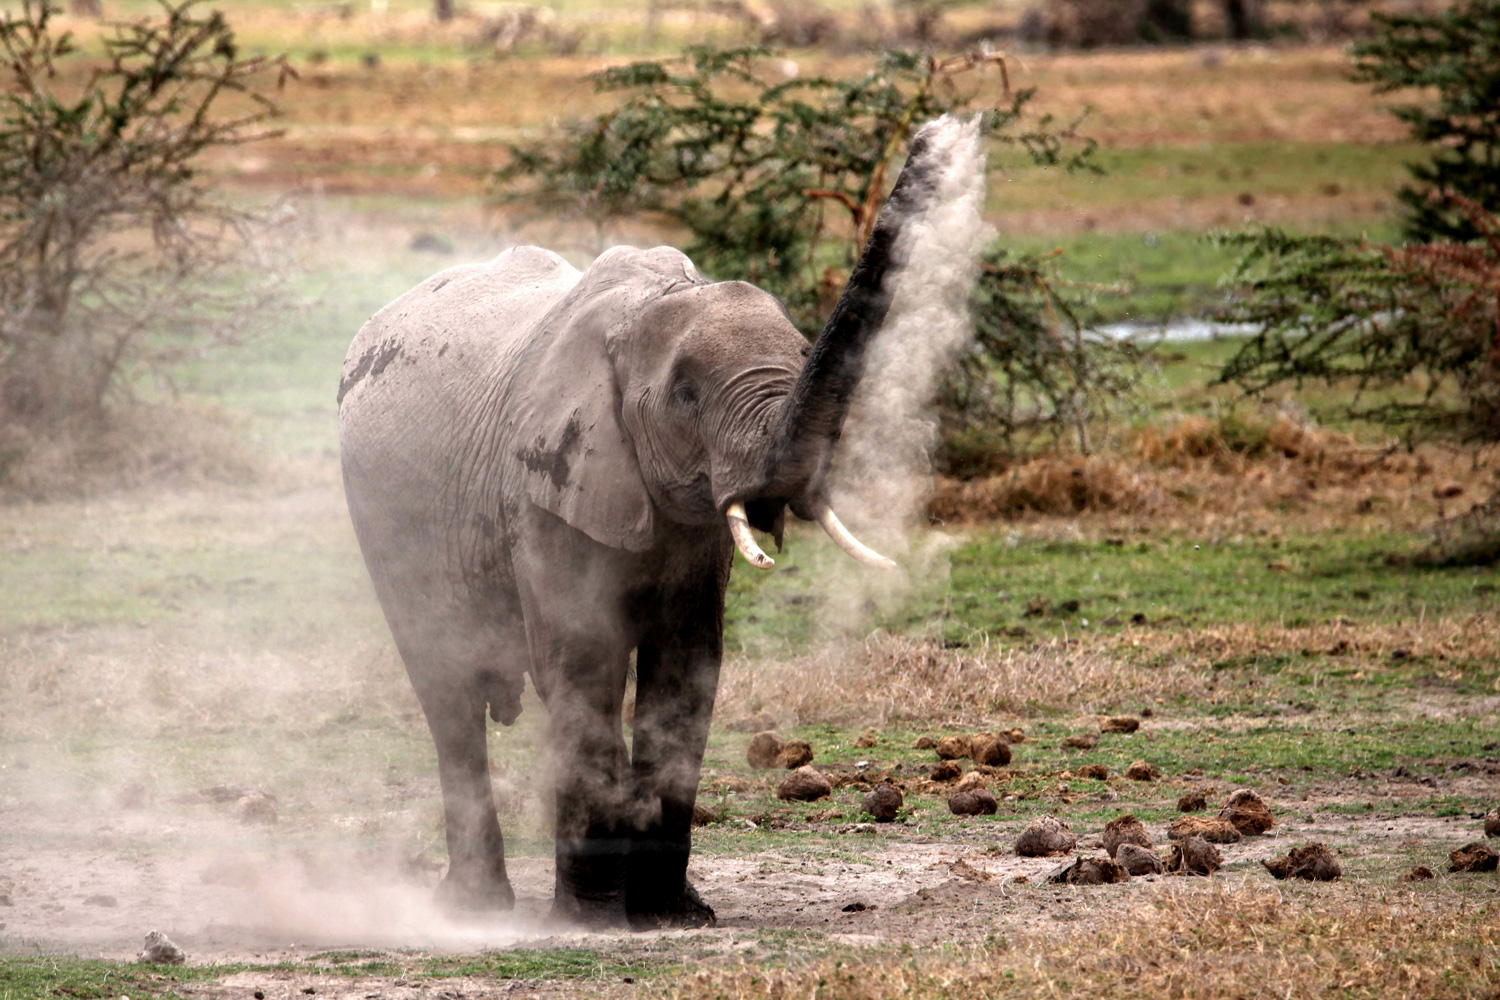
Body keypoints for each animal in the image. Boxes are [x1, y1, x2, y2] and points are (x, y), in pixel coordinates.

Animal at [337, 117, 972, 929]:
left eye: (804, 355)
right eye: (686, 396)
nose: (935, 136)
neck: (646, 309)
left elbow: (688, 669)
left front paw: (675, 917)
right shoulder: (545, 489)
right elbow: (584, 664)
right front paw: (590, 921)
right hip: (384, 519)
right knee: (446, 693)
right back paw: (474, 911)